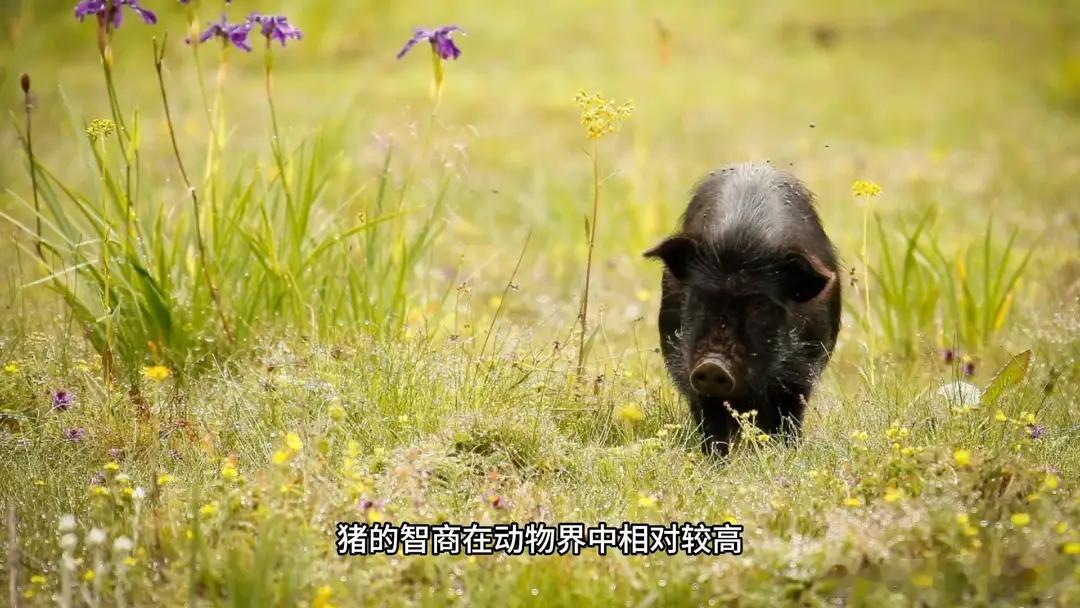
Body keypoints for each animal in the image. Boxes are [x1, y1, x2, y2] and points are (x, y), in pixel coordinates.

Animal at [645, 163, 841, 455]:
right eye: (699, 298)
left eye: (759, 305)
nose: (713, 365)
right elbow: (710, 419)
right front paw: (715, 460)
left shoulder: (802, 371)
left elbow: (787, 416)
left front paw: (785, 452)